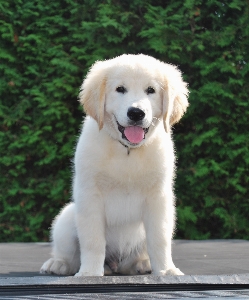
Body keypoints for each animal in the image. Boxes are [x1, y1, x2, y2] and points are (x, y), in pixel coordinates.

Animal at [40, 54, 189, 276]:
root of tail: (116, 264)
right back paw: (59, 264)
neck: (126, 151)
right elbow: (92, 240)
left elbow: (159, 239)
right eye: (120, 89)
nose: (136, 113)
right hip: (66, 219)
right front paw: (89, 273)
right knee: (68, 252)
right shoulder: (90, 195)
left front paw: (166, 270)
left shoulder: (159, 198)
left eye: (150, 90)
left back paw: (142, 264)